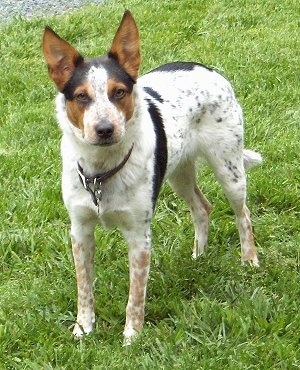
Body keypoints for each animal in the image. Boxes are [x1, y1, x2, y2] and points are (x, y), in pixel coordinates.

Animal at [42, 10, 262, 344]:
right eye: (81, 97)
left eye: (119, 92)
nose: (104, 129)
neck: (101, 172)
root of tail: (207, 68)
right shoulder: (79, 231)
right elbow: (84, 287)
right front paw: (83, 327)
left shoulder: (139, 236)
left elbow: (136, 295)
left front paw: (131, 337)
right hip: (177, 173)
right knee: (202, 207)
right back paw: (198, 256)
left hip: (229, 168)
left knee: (243, 214)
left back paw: (249, 260)